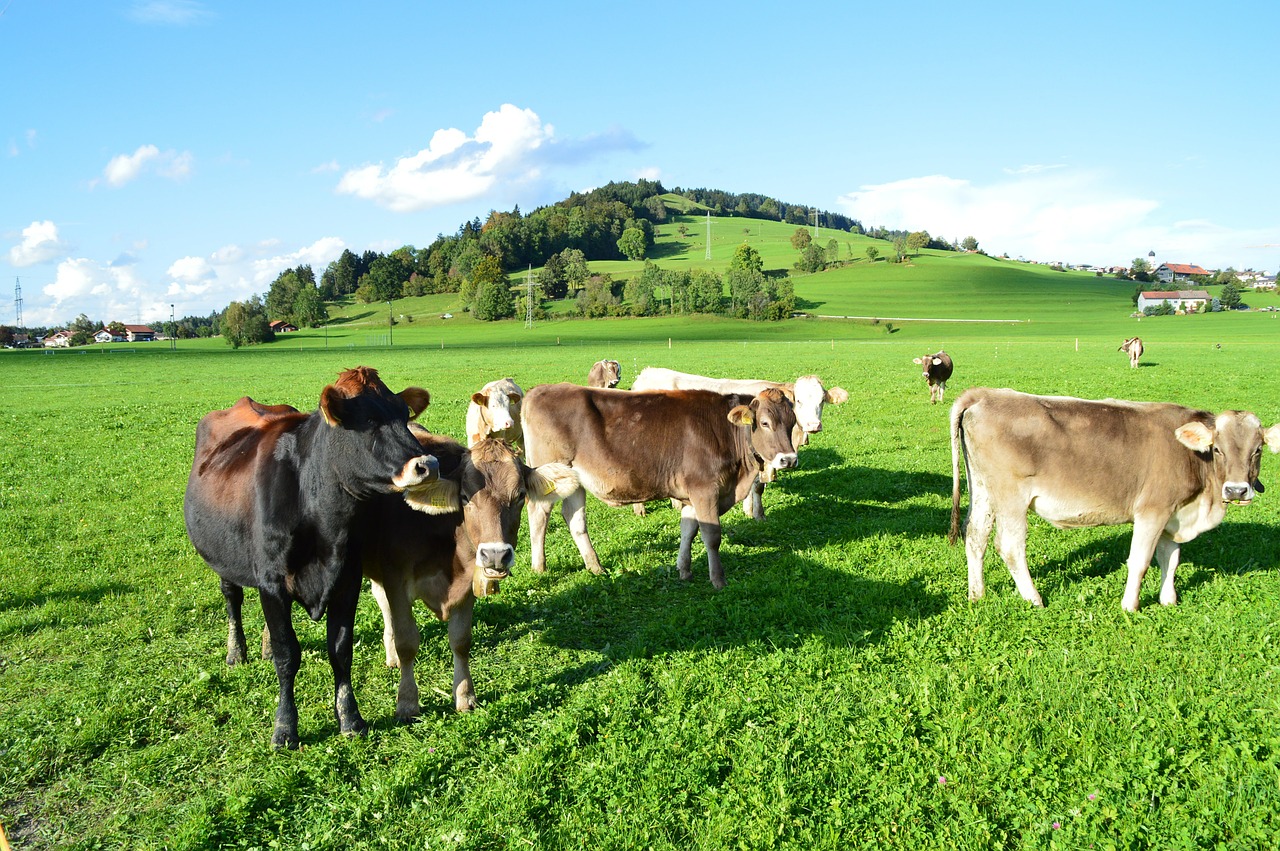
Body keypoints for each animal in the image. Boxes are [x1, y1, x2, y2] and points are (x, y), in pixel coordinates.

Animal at [180, 365, 437, 742]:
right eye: (369, 418)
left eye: (405, 415)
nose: (427, 463)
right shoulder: (272, 582)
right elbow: (288, 655)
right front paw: (285, 727)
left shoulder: (347, 580)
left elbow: (340, 651)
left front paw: (350, 718)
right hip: (223, 560)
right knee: (232, 597)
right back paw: (236, 651)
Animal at [360, 432, 581, 716]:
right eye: (465, 497)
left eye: (520, 495)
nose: (495, 555)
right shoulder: (396, 578)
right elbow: (407, 642)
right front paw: (407, 702)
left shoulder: (467, 585)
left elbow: (461, 641)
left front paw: (465, 695)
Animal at [514, 383, 793, 588]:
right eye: (765, 423)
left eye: (792, 423)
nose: (788, 459)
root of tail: (539, 390)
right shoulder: (704, 489)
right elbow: (712, 536)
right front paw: (718, 580)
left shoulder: (691, 495)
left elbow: (688, 530)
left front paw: (684, 569)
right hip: (549, 474)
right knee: (539, 515)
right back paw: (539, 566)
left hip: (575, 480)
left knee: (575, 519)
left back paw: (595, 566)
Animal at [952, 383, 1280, 611]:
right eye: (1218, 449)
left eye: (1257, 450)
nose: (1236, 490)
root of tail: (986, 394)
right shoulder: (1152, 510)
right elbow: (1140, 560)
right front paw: (1130, 606)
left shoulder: (1173, 514)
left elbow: (1170, 559)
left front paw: (1169, 600)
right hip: (1011, 498)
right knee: (1010, 546)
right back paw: (1034, 599)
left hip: (983, 490)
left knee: (976, 536)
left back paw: (977, 595)